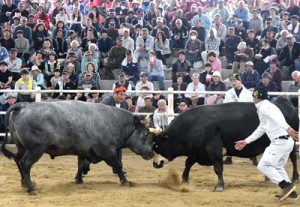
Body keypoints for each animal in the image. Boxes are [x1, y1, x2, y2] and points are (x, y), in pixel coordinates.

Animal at [0, 101, 155, 195]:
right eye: (146, 134)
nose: (151, 153)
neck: (113, 122)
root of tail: (24, 105)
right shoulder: (108, 151)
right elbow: (118, 165)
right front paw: (125, 182)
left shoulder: (83, 151)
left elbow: (81, 165)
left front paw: (78, 180)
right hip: (35, 150)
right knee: (25, 164)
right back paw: (31, 188)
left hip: (21, 148)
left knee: (18, 162)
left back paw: (24, 184)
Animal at [154, 98, 298, 192]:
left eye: (157, 146)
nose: (155, 164)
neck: (194, 124)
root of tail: (285, 103)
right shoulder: (197, 151)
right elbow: (188, 163)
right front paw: (184, 180)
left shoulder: (214, 148)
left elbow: (218, 167)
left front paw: (219, 185)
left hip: (291, 143)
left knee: (293, 158)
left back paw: (294, 177)